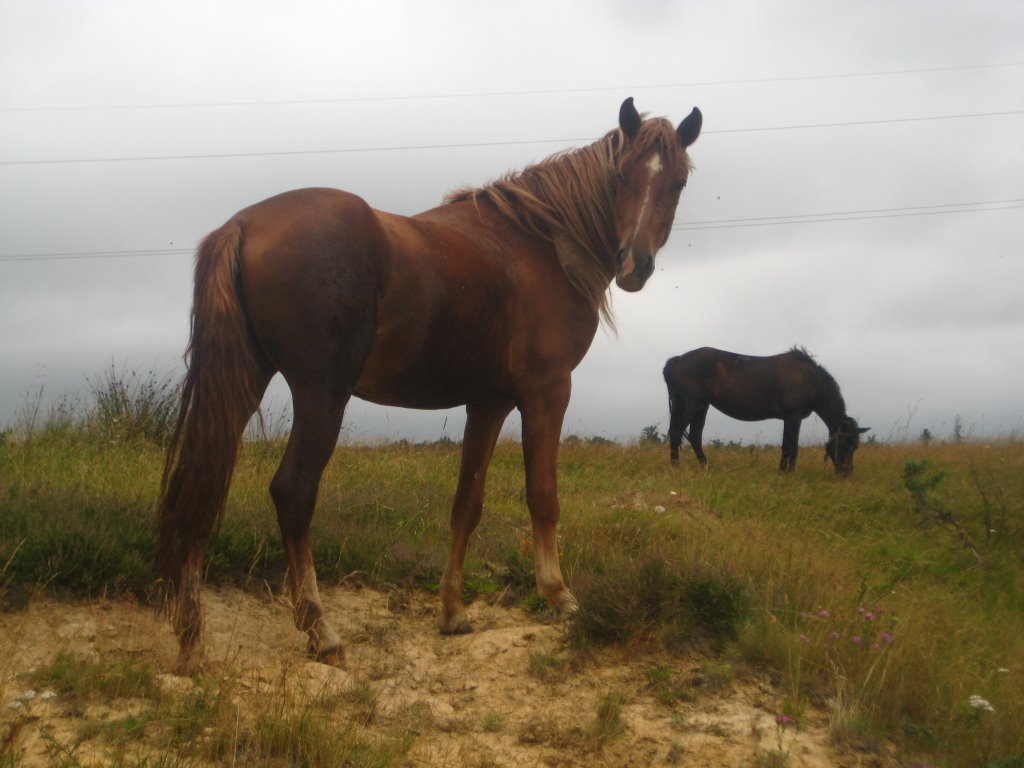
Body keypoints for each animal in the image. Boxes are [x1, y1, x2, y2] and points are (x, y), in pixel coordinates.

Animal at [155, 97, 704, 671]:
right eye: (622, 173)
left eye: (679, 182)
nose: (633, 265)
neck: (541, 245)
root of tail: (242, 224)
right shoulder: (547, 391)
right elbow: (543, 495)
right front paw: (559, 595)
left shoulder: (487, 403)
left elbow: (467, 503)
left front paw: (453, 611)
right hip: (322, 394)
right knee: (293, 492)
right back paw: (320, 630)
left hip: (243, 384)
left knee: (201, 485)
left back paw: (191, 640)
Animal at [663, 348, 872, 475]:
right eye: (845, 444)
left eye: (855, 446)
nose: (846, 473)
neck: (810, 380)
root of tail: (677, 360)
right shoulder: (793, 416)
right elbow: (792, 447)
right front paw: (789, 474)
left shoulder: (789, 418)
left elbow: (786, 445)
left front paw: (782, 472)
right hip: (691, 405)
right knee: (676, 433)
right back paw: (676, 467)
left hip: (699, 407)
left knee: (694, 436)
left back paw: (705, 467)